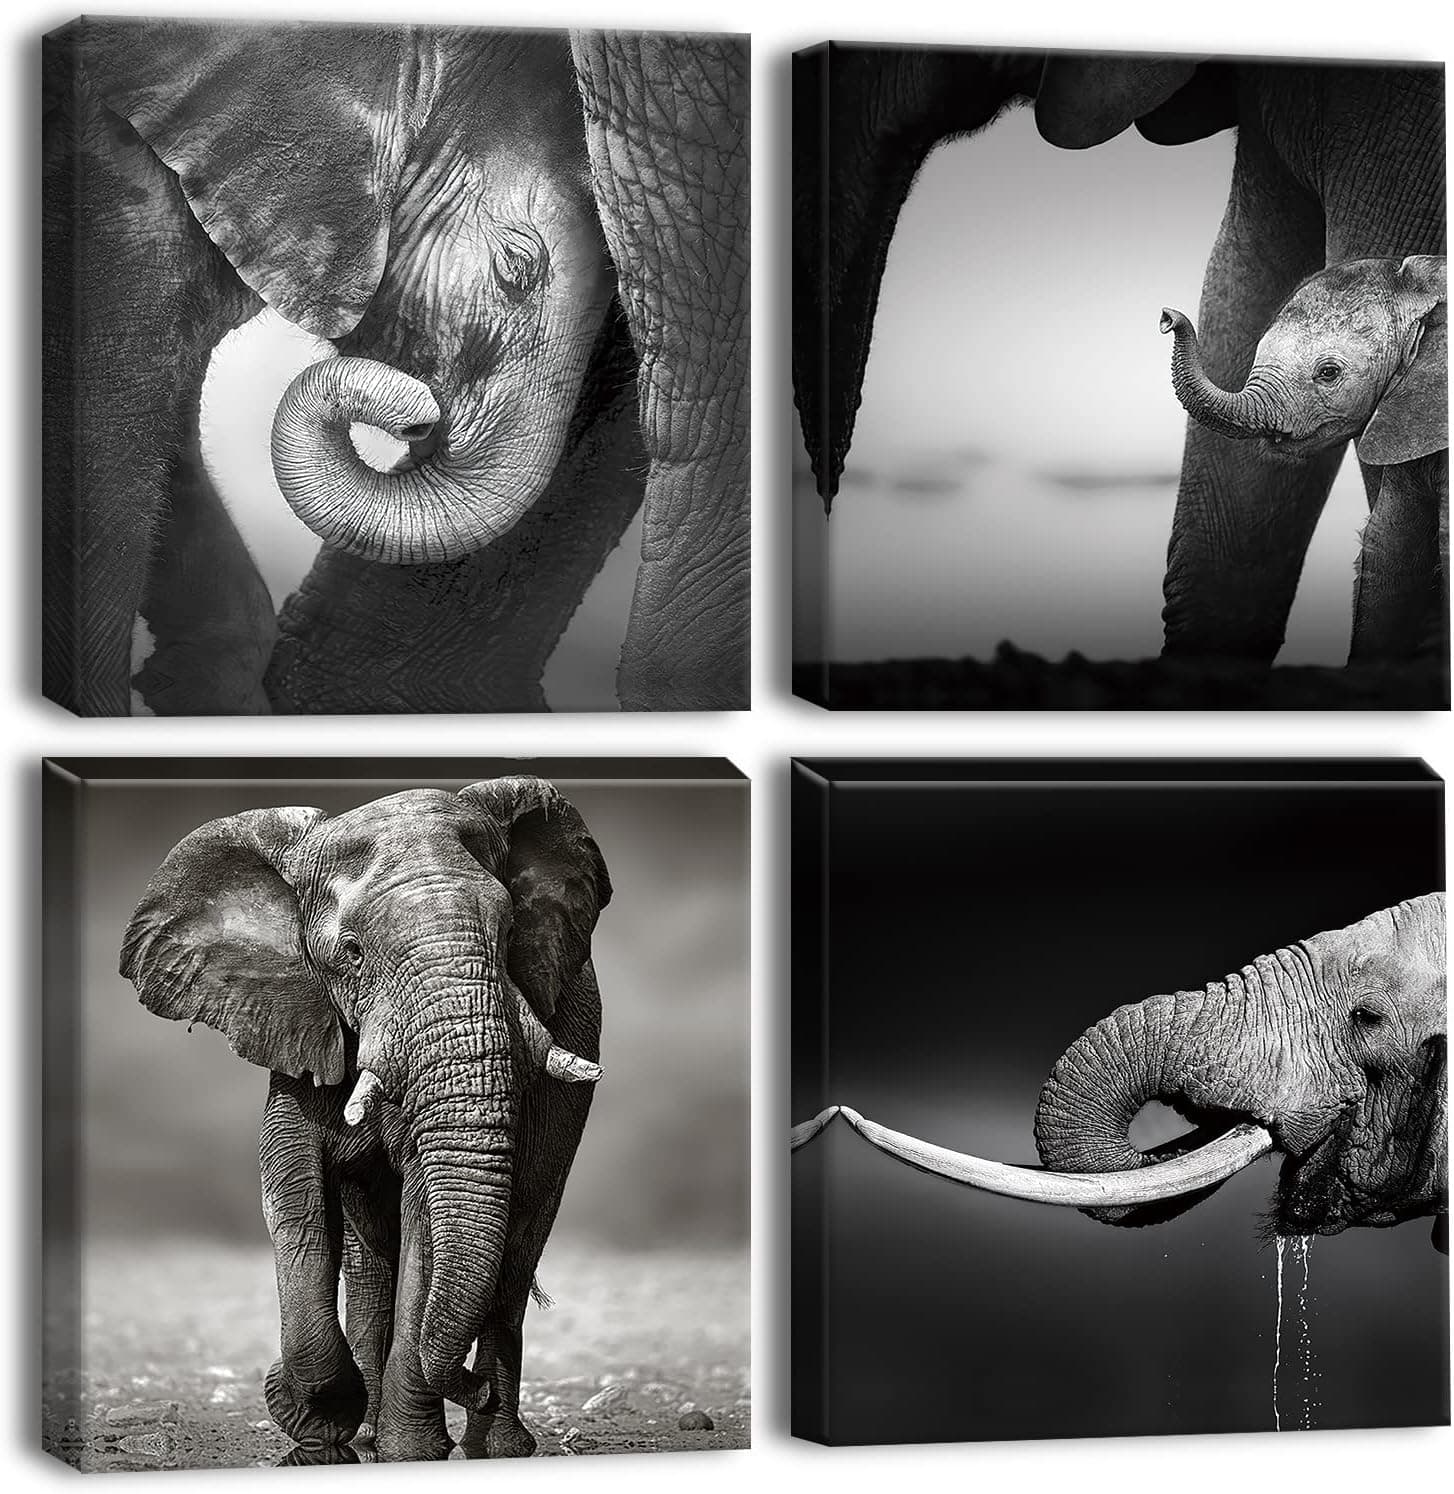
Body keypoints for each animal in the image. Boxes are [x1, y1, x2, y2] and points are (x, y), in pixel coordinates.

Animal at [43, 19, 749, 714]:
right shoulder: (113, 202)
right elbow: (108, 445)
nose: (414, 417)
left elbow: (164, 432)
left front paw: (196, 677)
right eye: (516, 270)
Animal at [118, 776, 611, 1461]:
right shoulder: (299, 1023)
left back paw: (494, 1445)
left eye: (511, 930)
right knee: (372, 1259)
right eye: (350, 954)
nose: (473, 1386)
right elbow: (294, 1192)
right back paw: (378, 1431)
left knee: (518, 1244)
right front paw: (316, 1429)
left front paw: (411, 1452)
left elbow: (425, 1211)